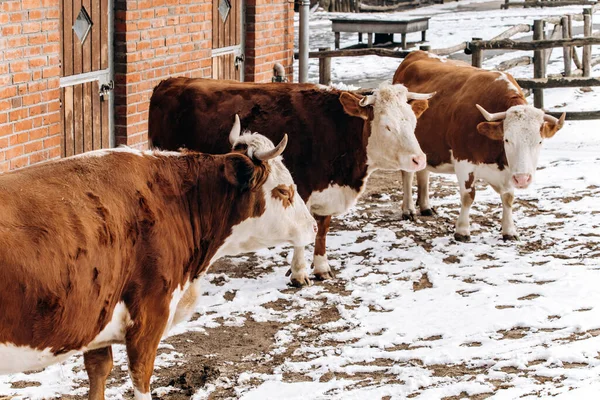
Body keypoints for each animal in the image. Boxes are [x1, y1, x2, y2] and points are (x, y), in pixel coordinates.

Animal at [0, 122, 316, 400]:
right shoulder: (149, 316)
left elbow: (99, 373)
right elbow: (141, 378)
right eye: (284, 191)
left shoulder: (95, 318)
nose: (313, 226)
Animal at [148, 76, 434, 286]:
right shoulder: (300, 190)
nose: (419, 159)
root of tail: (171, 81)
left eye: (412, 120)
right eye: (387, 125)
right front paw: (299, 274)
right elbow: (301, 234)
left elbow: (322, 230)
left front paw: (322, 268)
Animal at [394, 51, 564, 242]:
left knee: (423, 171)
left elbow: (508, 197)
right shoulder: (463, 160)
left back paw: (425, 206)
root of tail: (416, 53)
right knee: (407, 175)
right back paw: (408, 209)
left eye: (539, 141)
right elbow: (468, 196)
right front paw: (462, 231)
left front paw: (509, 230)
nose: (522, 179)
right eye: (507, 140)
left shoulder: (508, 169)